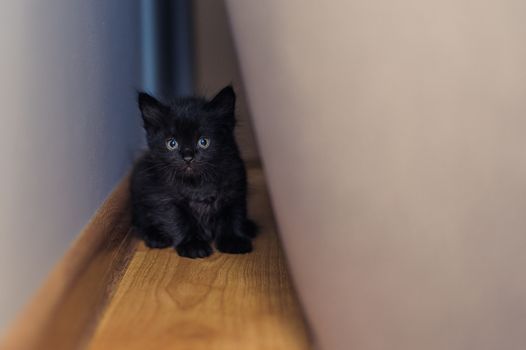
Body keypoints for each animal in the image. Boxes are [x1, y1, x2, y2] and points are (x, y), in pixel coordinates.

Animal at [131, 86, 256, 258]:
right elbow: (180, 221)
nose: (188, 157)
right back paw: (157, 237)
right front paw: (193, 245)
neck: (197, 185)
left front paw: (234, 240)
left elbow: (233, 216)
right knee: (142, 222)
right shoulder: (166, 199)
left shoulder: (235, 190)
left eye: (203, 142)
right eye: (172, 143)